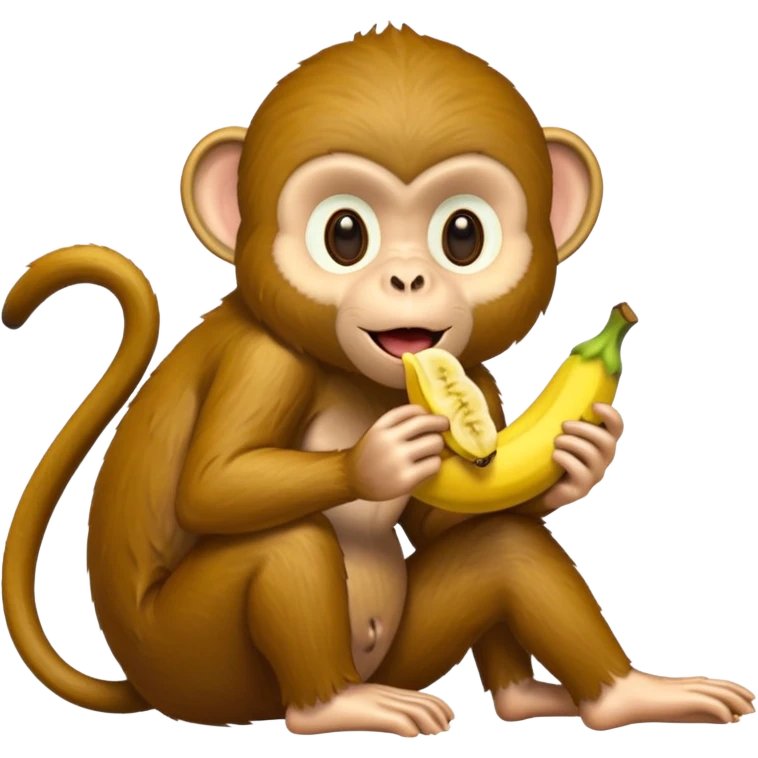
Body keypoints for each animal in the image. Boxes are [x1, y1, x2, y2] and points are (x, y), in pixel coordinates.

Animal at [2, 25, 754, 736]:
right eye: (344, 234)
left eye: (462, 234)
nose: (409, 278)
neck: (360, 379)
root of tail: (145, 684)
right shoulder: (263, 360)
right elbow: (213, 484)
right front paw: (377, 459)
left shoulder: (475, 381)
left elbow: (455, 517)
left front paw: (582, 461)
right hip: (199, 662)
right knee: (284, 545)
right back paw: (335, 707)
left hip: (395, 655)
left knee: (501, 544)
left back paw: (582, 697)